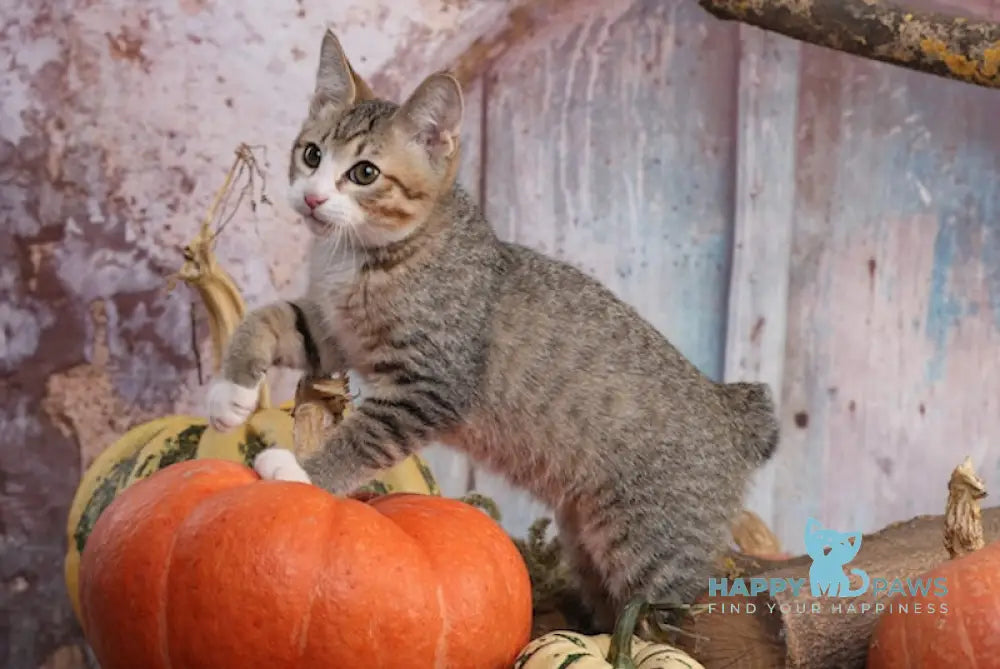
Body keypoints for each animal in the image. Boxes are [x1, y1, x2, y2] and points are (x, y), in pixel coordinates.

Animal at [207, 27, 776, 632]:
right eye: (312, 154)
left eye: (364, 173)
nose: (313, 198)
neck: (369, 258)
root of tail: (731, 410)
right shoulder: (336, 331)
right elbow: (268, 318)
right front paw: (231, 391)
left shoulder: (429, 386)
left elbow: (362, 436)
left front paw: (301, 472)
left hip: (653, 549)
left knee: (668, 618)